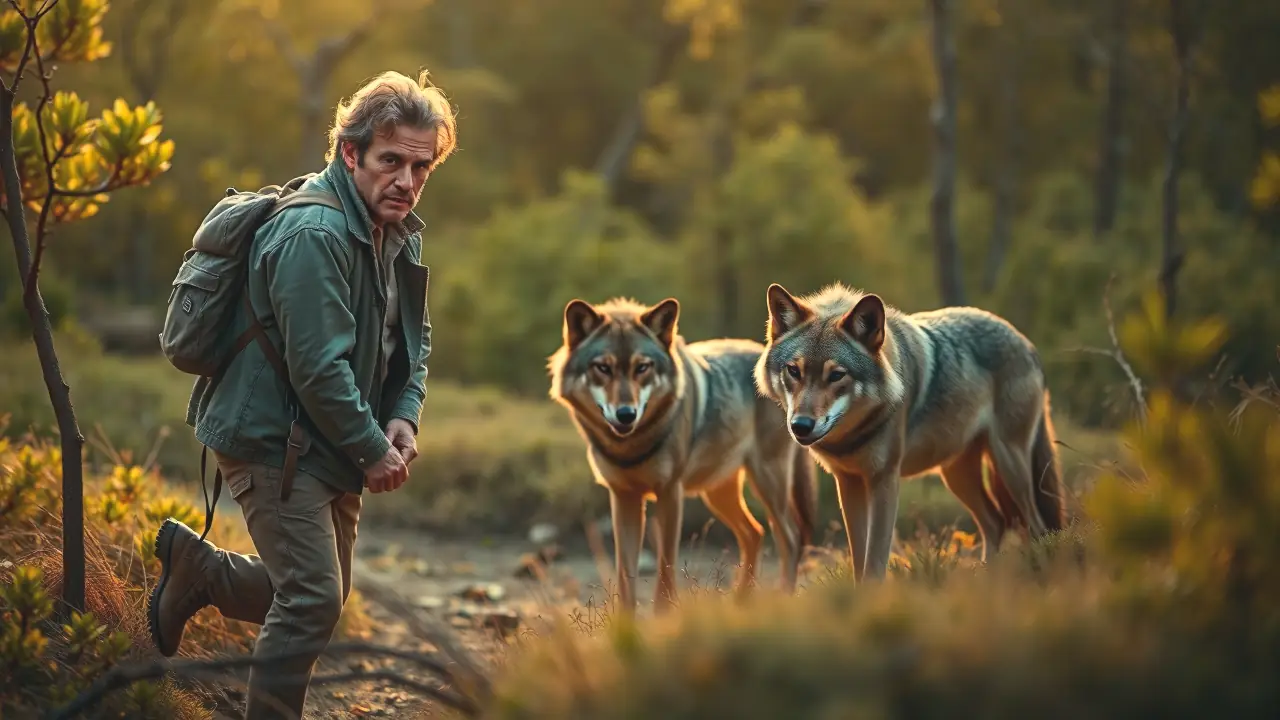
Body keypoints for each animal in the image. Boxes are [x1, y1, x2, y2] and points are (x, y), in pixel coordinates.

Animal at [548, 296, 818, 613]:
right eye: (603, 367)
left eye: (642, 367)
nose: (626, 414)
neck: (631, 446)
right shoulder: (623, 497)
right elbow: (625, 572)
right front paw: (625, 621)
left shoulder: (670, 493)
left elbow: (665, 565)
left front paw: (663, 615)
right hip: (718, 494)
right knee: (755, 534)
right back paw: (740, 603)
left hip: (767, 483)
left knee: (790, 538)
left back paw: (782, 599)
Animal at [754, 282, 1065, 582]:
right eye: (794, 371)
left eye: (836, 375)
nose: (800, 425)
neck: (853, 435)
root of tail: (1026, 342)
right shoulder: (849, 483)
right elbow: (858, 560)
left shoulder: (884, 479)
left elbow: (875, 562)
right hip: (957, 475)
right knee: (996, 522)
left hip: (1010, 466)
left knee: (1037, 525)